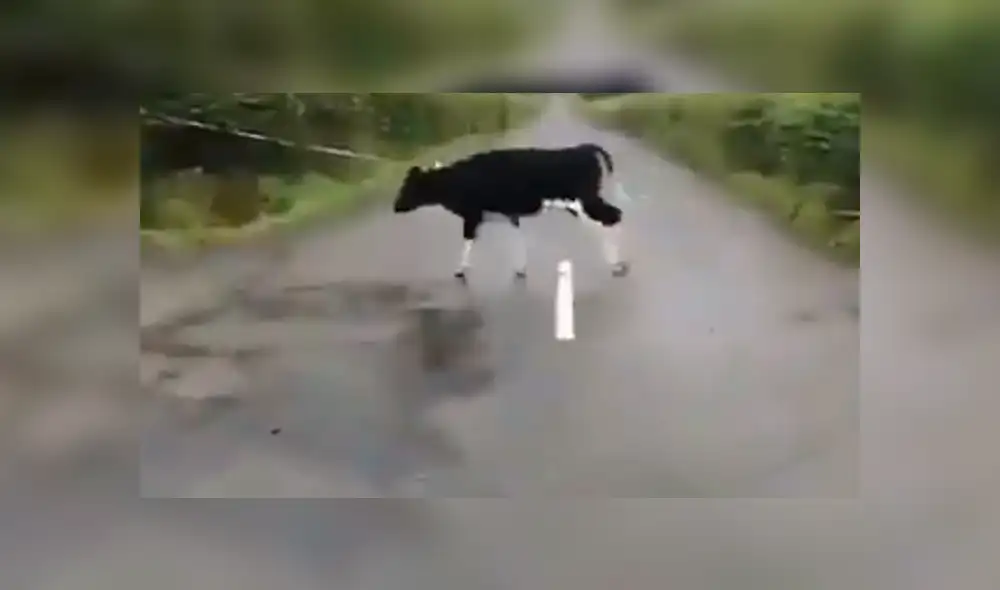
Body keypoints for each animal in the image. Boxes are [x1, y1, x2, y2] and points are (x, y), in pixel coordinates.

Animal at [392, 143, 630, 281]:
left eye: (409, 186)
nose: (395, 206)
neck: (457, 180)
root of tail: (583, 148)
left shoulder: (472, 216)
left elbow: (467, 242)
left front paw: (460, 271)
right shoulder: (508, 214)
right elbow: (516, 237)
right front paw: (520, 269)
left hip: (583, 202)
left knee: (611, 218)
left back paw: (617, 265)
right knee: (615, 216)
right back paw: (619, 263)